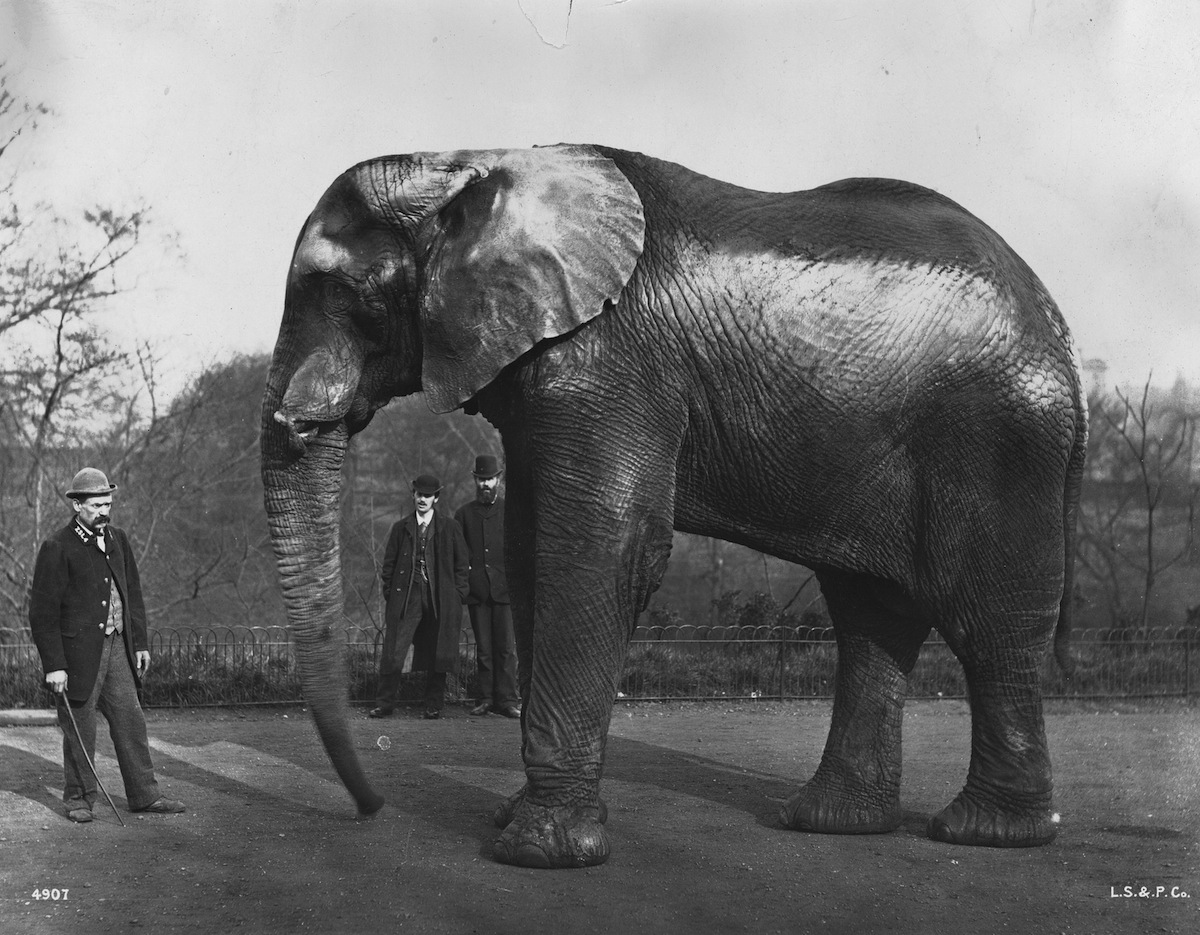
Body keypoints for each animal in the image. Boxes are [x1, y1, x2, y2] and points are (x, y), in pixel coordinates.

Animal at [262, 143, 1087, 869]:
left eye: (347, 296)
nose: (368, 808)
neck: (471, 158)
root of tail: (1060, 328)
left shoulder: (611, 359)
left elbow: (602, 547)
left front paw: (536, 851)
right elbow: (530, 552)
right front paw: (520, 819)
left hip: (998, 441)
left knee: (986, 619)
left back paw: (984, 833)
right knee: (872, 616)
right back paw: (831, 822)